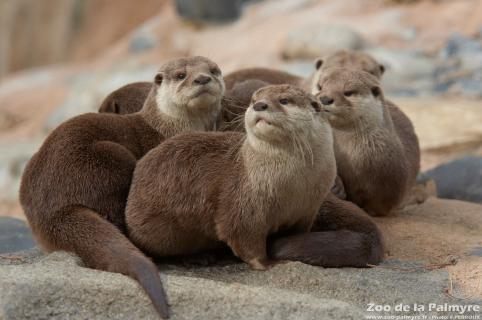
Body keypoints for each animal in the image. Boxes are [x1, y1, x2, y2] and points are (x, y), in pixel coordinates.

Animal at [18, 55, 226, 318]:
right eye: (181, 75)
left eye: (214, 70)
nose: (202, 78)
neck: (168, 128)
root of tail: (52, 208)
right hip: (110, 159)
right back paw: (198, 256)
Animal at [124, 85, 336, 270]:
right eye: (254, 100)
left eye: (284, 100)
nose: (260, 105)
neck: (293, 186)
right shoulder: (244, 202)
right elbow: (242, 237)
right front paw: (269, 263)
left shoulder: (306, 212)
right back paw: (198, 257)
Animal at [314, 68, 420, 216]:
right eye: (320, 87)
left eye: (348, 92)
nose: (324, 98)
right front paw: (336, 187)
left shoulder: (390, 188)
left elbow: (378, 205)